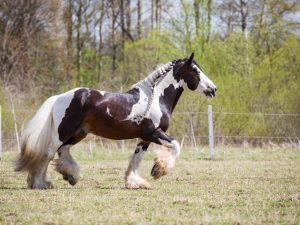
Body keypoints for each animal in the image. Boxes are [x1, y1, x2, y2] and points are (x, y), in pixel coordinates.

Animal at [14, 53, 216, 189]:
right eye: (195, 71)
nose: (213, 89)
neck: (156, 99)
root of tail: (59, 97)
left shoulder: (144, 138)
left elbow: (136, 159)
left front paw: (135, 182)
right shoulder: (153, 133)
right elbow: (175, 146)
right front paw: (158, 170)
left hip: (78, 134)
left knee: (62, 151)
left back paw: (70, 176)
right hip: (62, 133)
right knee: (48, 154)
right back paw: (40, 183)